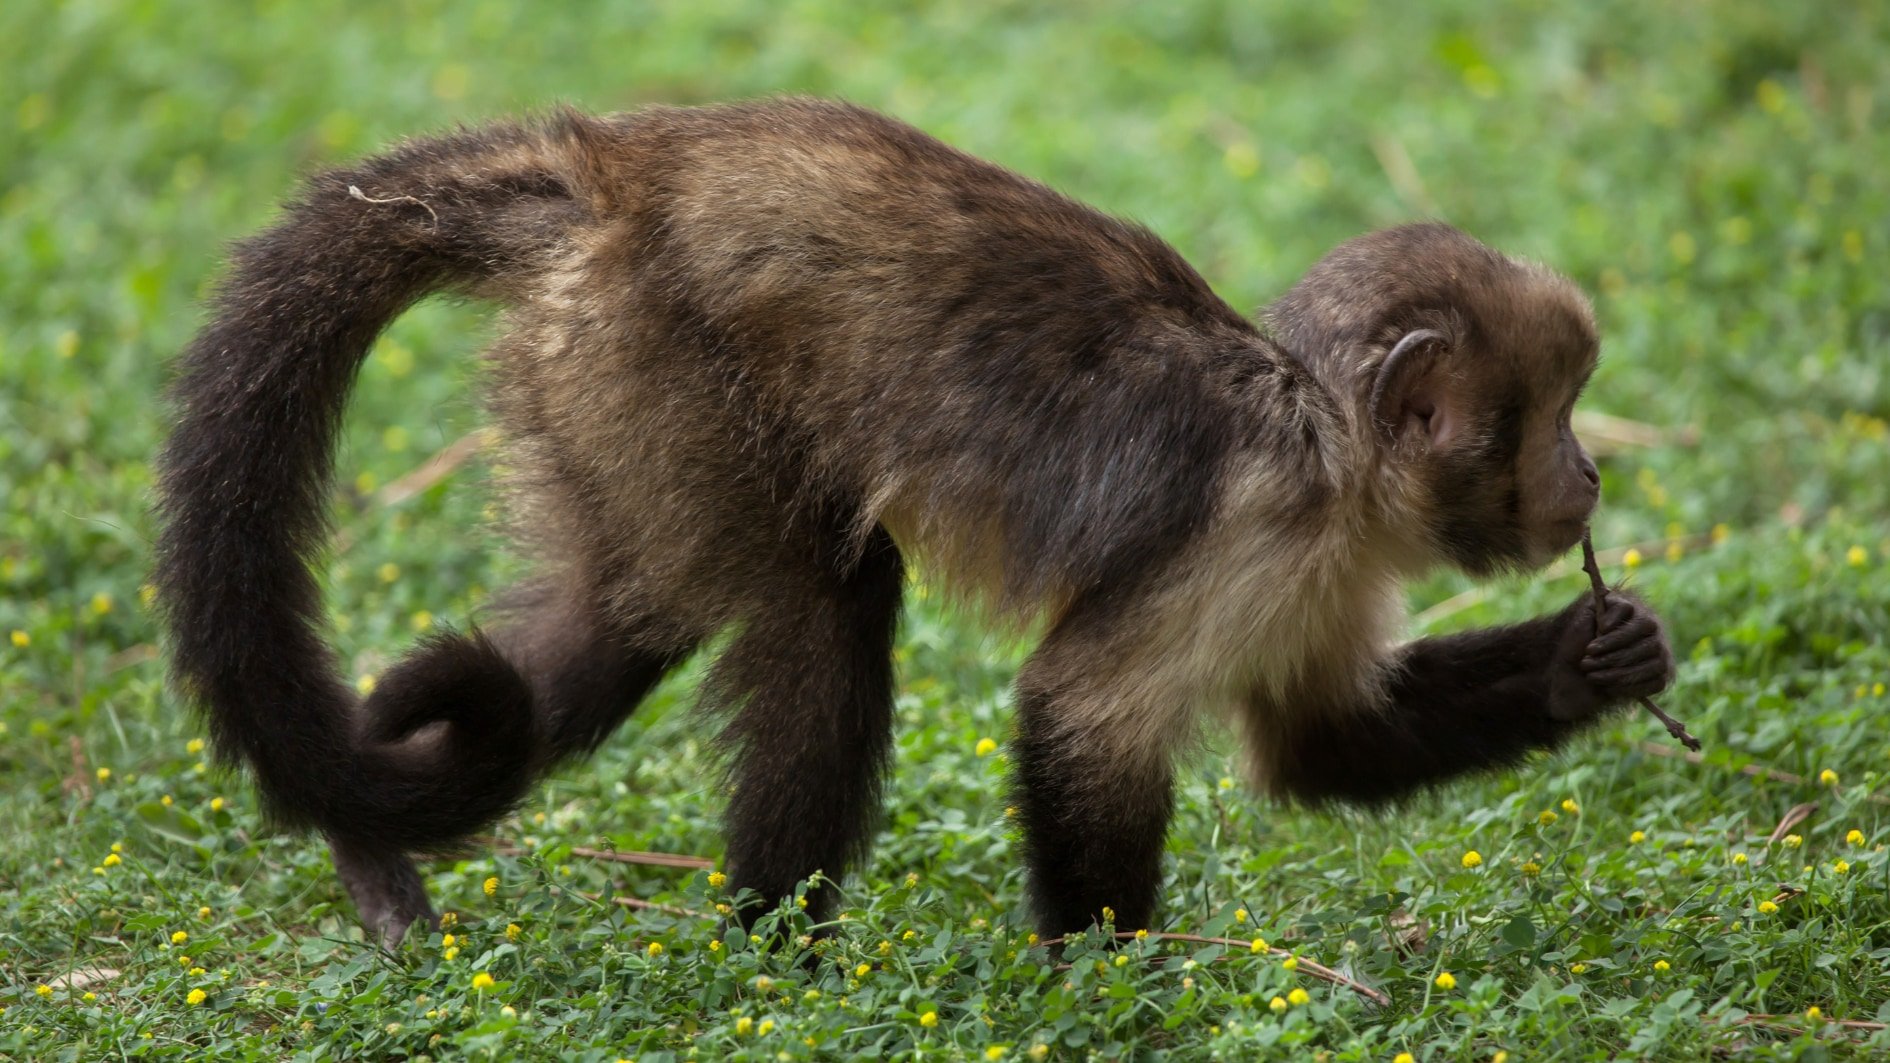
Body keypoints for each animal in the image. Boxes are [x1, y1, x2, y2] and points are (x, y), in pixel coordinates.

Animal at [154, 97, 1678, 941]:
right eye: (1548, 417)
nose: (1590, 475)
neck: (1322, 435)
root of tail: (610, 172)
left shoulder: (1330, 560)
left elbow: (1321, 742)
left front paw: (1588, 662)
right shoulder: (1261, 526)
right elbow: (1080, 713)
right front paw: (1111, 991)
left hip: (585, 386)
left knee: (611, 622)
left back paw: (370, 829)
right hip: (660, 357)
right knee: (821, 600)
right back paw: (779, 968)